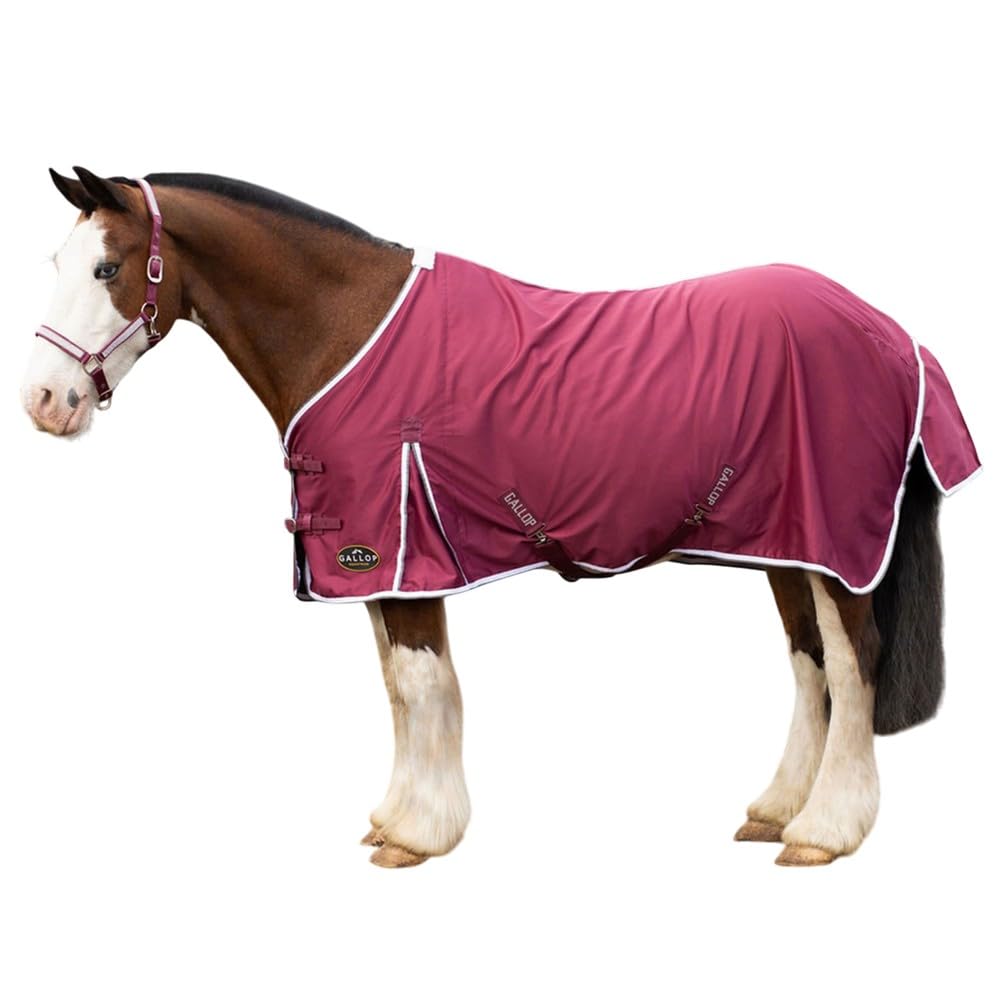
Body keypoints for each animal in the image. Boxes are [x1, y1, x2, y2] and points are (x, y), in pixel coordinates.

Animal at [21, 167, 981, 868]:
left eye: (108, 269)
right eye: (59, 266)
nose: (43, 402)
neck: (346, 329)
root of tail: (894, 336)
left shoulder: (396, 550)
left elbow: (422, 685)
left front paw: (418, 835)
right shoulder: (382, 564)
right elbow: (400, 688)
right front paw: (395, 818)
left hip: (835, 546)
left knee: (853, 662)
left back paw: (824, 833)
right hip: (786, 546)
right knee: (810, 663)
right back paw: (778, 811)